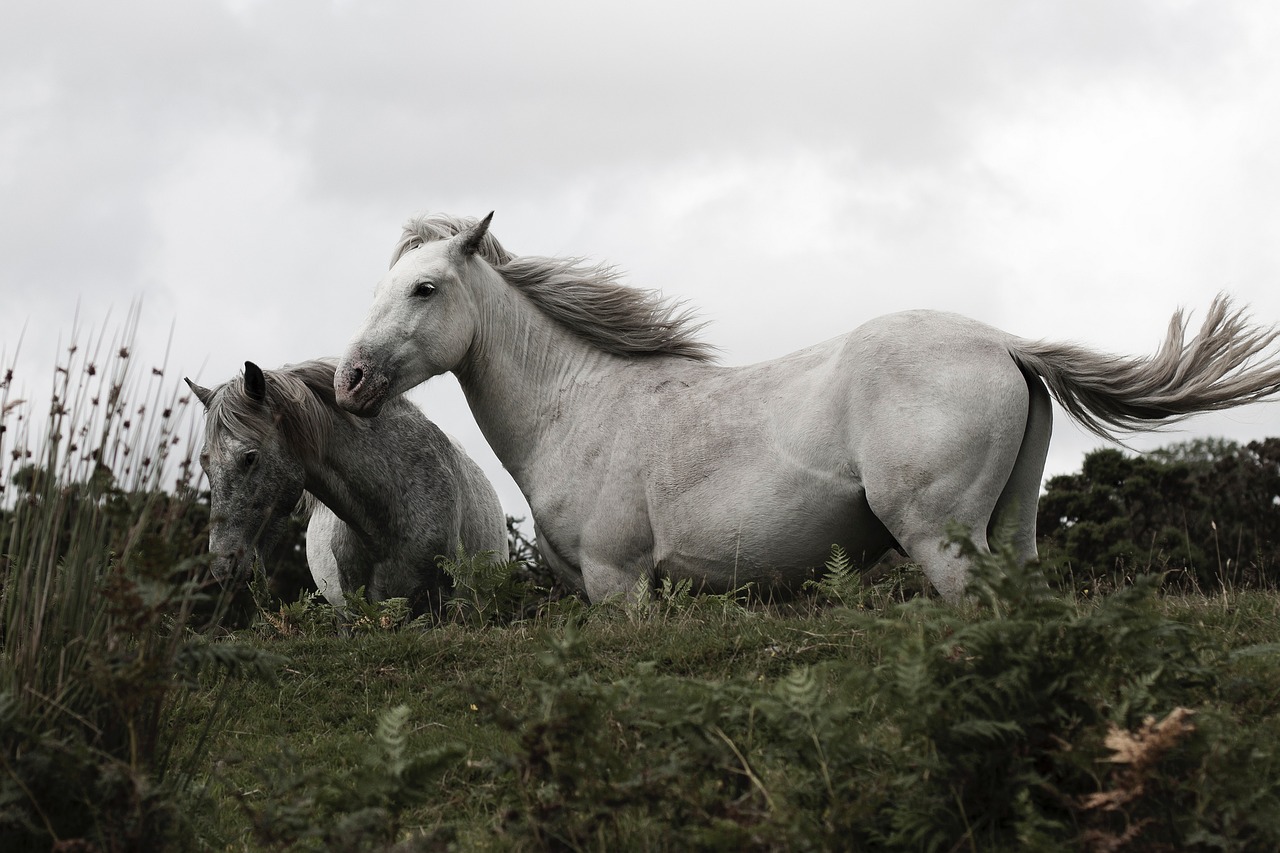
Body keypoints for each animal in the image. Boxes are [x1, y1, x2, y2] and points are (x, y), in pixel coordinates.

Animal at [330, 212, 1280, 596]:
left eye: (422, 288)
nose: (349, 382)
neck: (581, 405)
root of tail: (1002, 342)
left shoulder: (619, 582)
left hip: (941, 539)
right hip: (1012, 532)